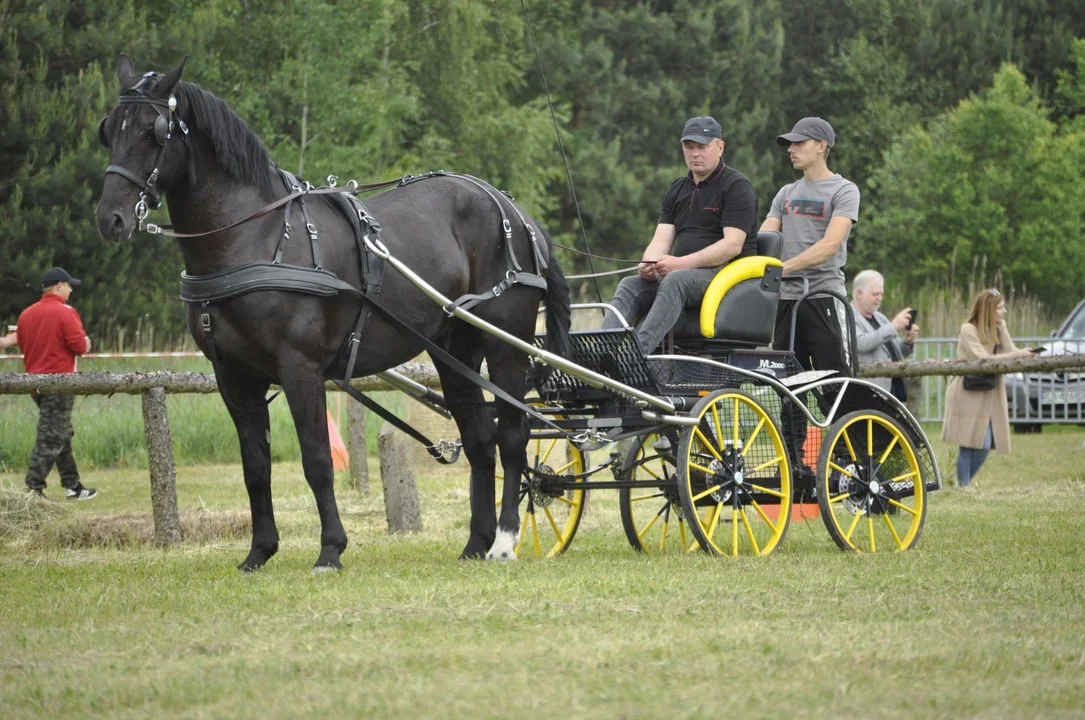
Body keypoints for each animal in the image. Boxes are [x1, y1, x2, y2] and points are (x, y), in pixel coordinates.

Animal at [96, 56, 572, 572]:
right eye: (109, 130)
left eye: (155, 131)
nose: (109, 219)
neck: (256, 239)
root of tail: (516, 213)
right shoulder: (234, 377)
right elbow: (255, 466)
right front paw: (259, 552)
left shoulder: (299, 368)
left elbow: (317, 460)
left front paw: (330, 549)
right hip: (453, 350)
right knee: (481, 440)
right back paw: (474, 544)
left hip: (505, 344)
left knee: (512, 436)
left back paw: (504, 541)